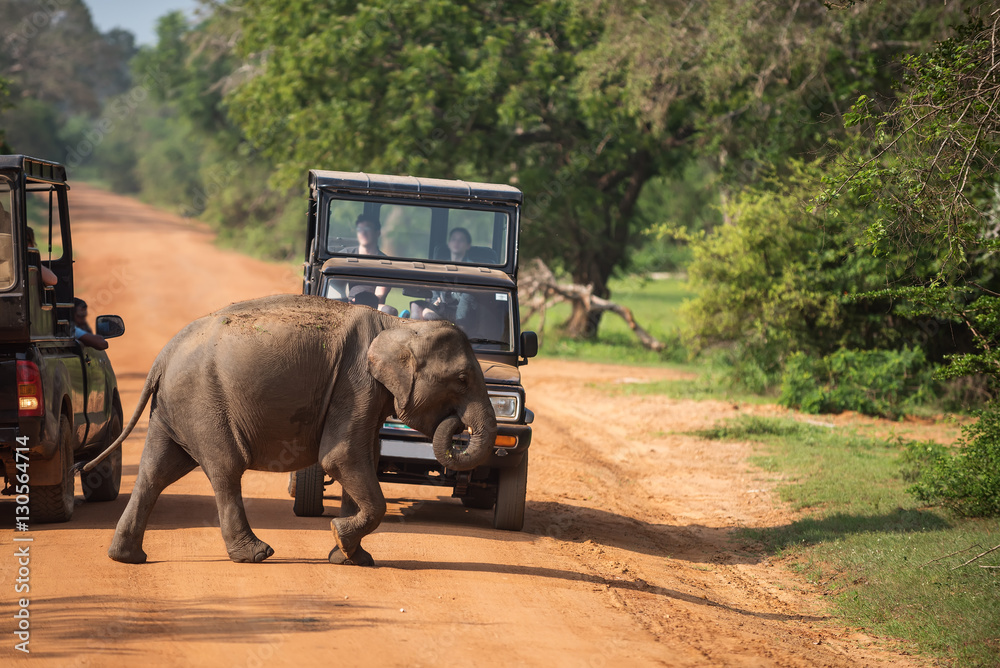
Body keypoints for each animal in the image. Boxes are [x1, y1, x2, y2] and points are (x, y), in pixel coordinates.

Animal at [83, 294, 497, 566]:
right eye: (462, 379)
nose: (456, 423)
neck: (400, 327)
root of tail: (162, 356)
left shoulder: (367, 394)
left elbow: (363, 457)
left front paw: (350, 557)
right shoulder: (356, 384)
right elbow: (341, 457)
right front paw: (342, 541)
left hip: (173, 408)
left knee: (156, 471)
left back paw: (126, 557)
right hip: (202, 402)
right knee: (225, 469)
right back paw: (256, 554)